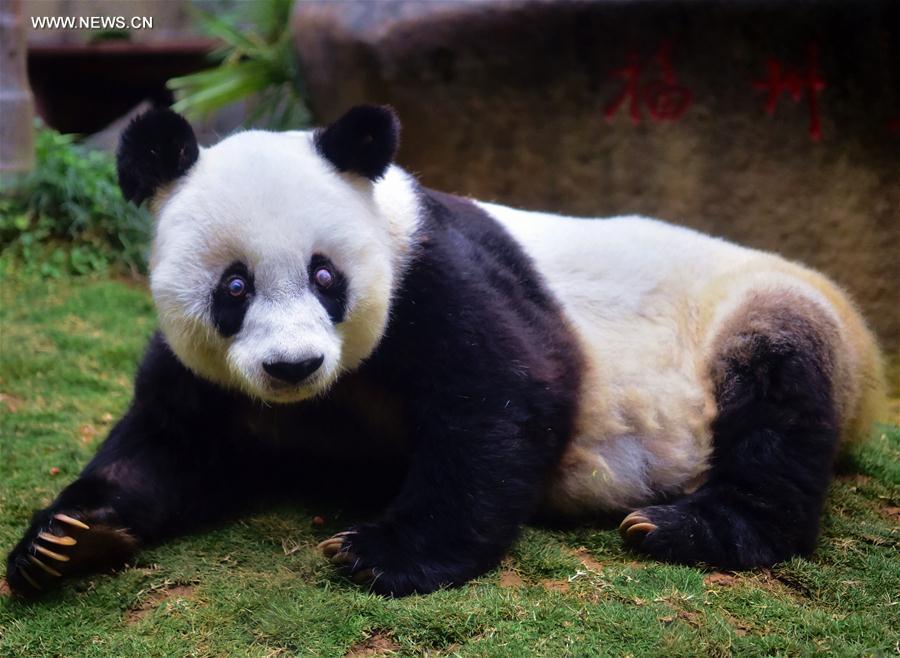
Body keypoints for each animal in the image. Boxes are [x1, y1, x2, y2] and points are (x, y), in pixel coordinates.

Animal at [7, 105, 884, 596]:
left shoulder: (436, 275)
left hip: (761, 315)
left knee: (778, 396)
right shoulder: (212, 378)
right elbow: (168, 445)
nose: (291, 366)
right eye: (234, 286)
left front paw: (378, 554)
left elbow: (505, 396)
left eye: (325, 275)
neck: (322, 397)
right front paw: (65, 540)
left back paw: (683, 528)